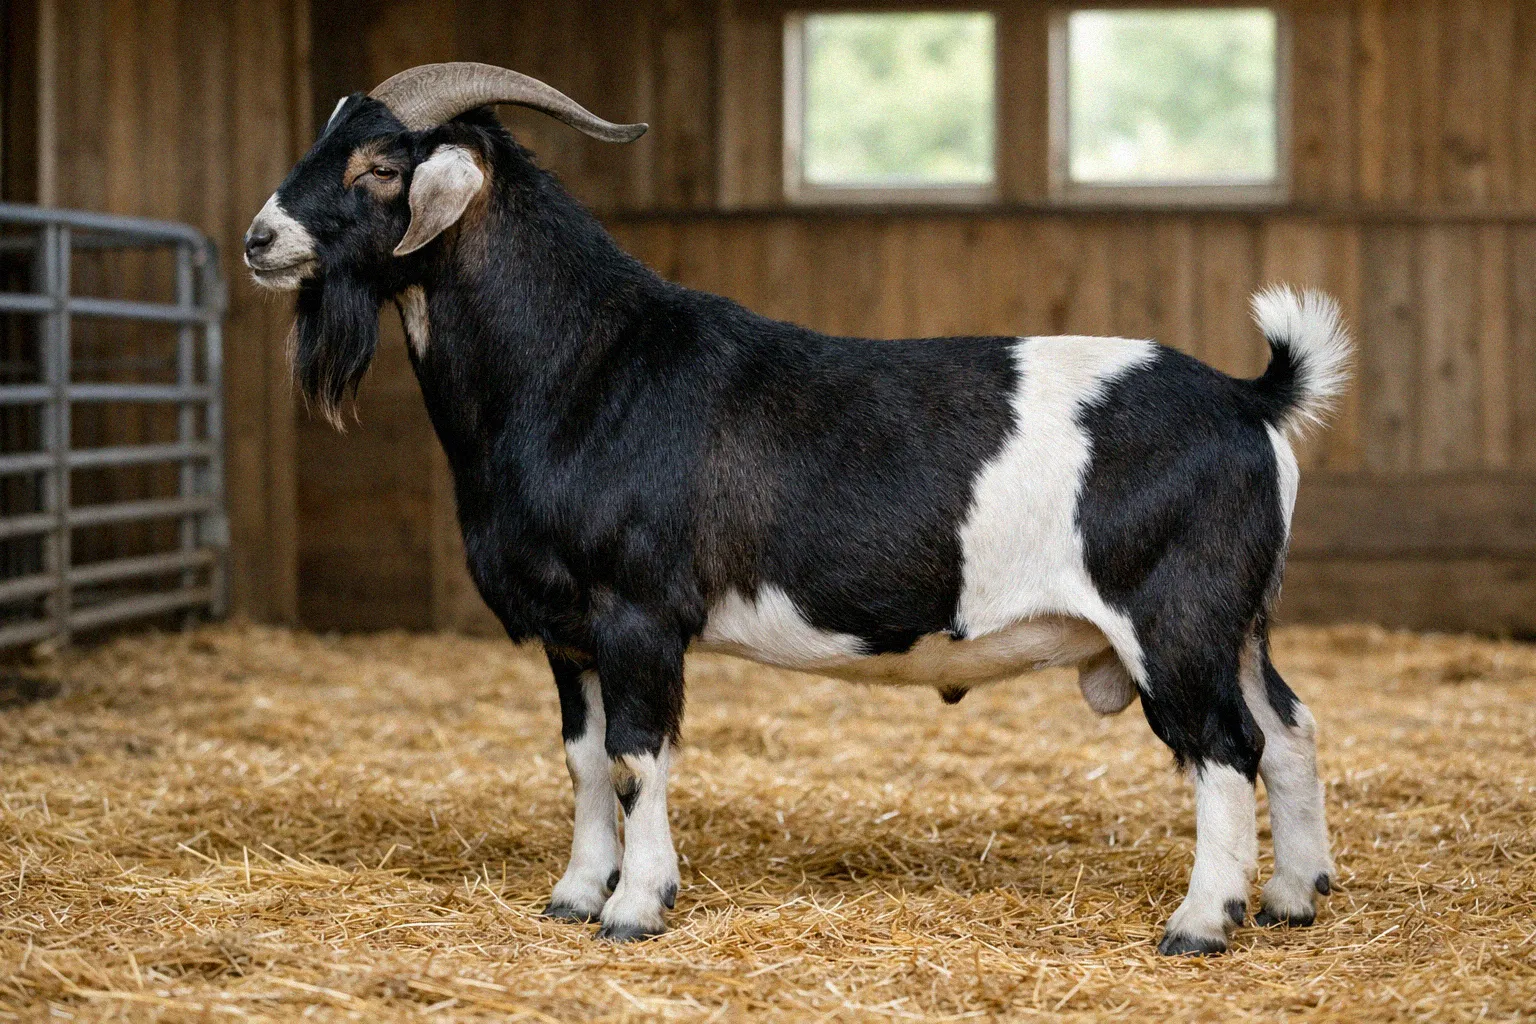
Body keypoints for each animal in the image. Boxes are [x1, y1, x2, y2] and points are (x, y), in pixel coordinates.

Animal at [245, 62, 1348, 954]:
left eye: (380, 165)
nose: (260, 239)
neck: (583, 365)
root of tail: (1254, 400)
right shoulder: (569, 632)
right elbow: (583, 762)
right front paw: (572, 896)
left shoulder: (639, 612)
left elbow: (637, 757)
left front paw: (636, 907)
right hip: (1237, 620)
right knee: (1287, 727)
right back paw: (1293, 897)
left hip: (1173, 617)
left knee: (1227, 749)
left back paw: (1202, 921)